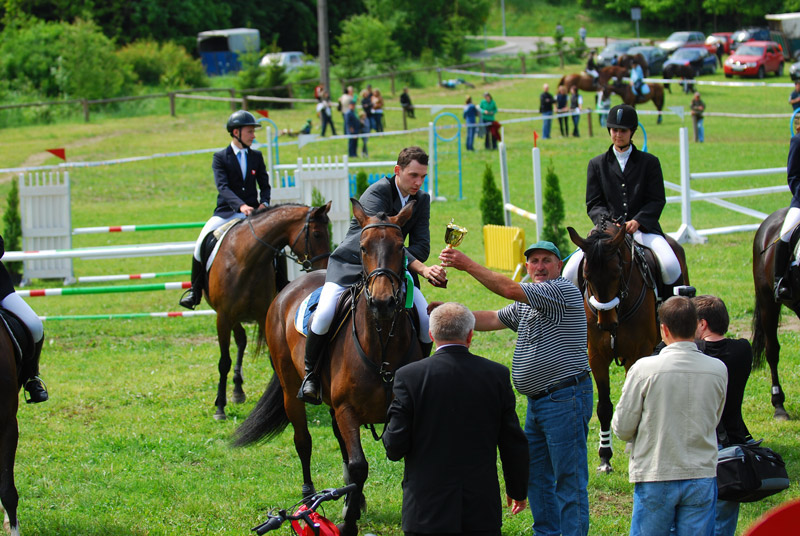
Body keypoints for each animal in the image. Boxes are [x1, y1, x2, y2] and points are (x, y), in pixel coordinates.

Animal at [208, 203, 332, 420]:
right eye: (317, 234)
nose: (324, 267)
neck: (246, 261)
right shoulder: (223, 318)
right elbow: (224, 361)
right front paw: (220, 407)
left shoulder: (262, 315)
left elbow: (273, 363)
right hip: (233, 319)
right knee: (240, 342)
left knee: (241, 341)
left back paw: (238, 390)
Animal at [234, 198, 424, 536]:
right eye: (362, 247)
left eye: (401, 246)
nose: (383, 302)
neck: (381, 344)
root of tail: (288, 289)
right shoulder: (347, 409)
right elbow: (359, 465)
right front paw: (347, 523)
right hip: (291, 389)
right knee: (303, 442)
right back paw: (309, 499)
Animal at [568, 222, 688, 474]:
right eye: (586, 275)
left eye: (616, 272)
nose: (606, 323)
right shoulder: (597, 357)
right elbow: (604, 407)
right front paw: (605, 458)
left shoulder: (637, 354)